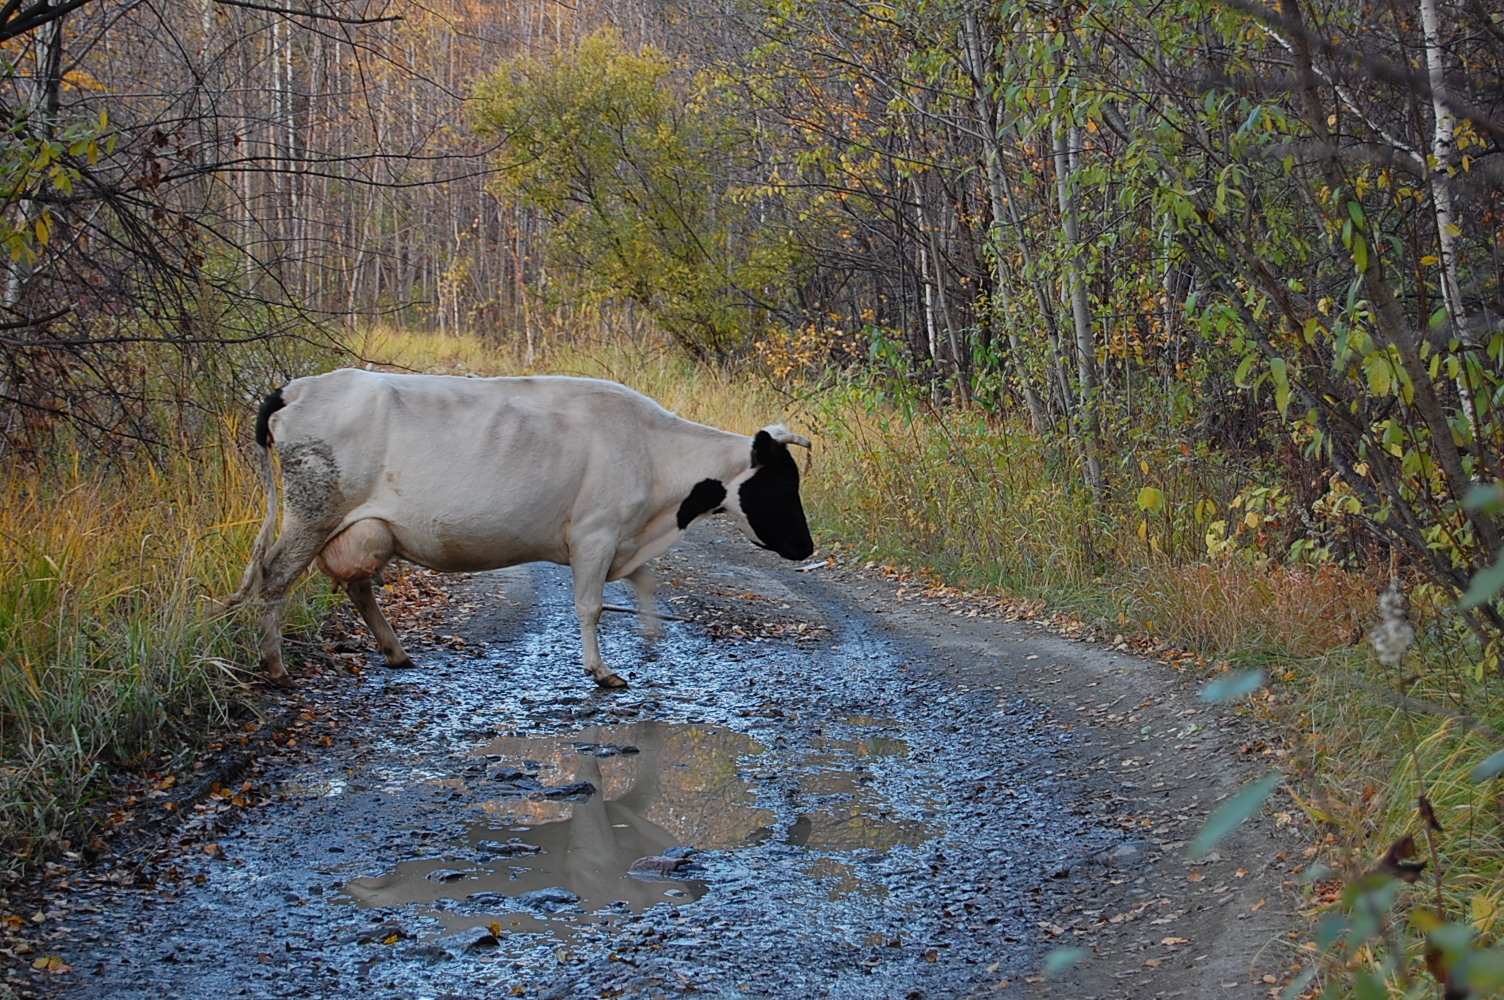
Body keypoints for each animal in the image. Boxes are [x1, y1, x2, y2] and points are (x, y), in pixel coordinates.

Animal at [228, 366, 812, 685]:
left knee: (357, 584)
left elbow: (645, 581)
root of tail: (297, 389)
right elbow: (591, 606)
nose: (807, 547)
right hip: (312, 512)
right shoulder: (595, 534)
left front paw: (650, 636)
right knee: (274, 578)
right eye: (785, 486)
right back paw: (275, 668)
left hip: (361, 526)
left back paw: (395, 652)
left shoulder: (623, 537)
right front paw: (602, 672)